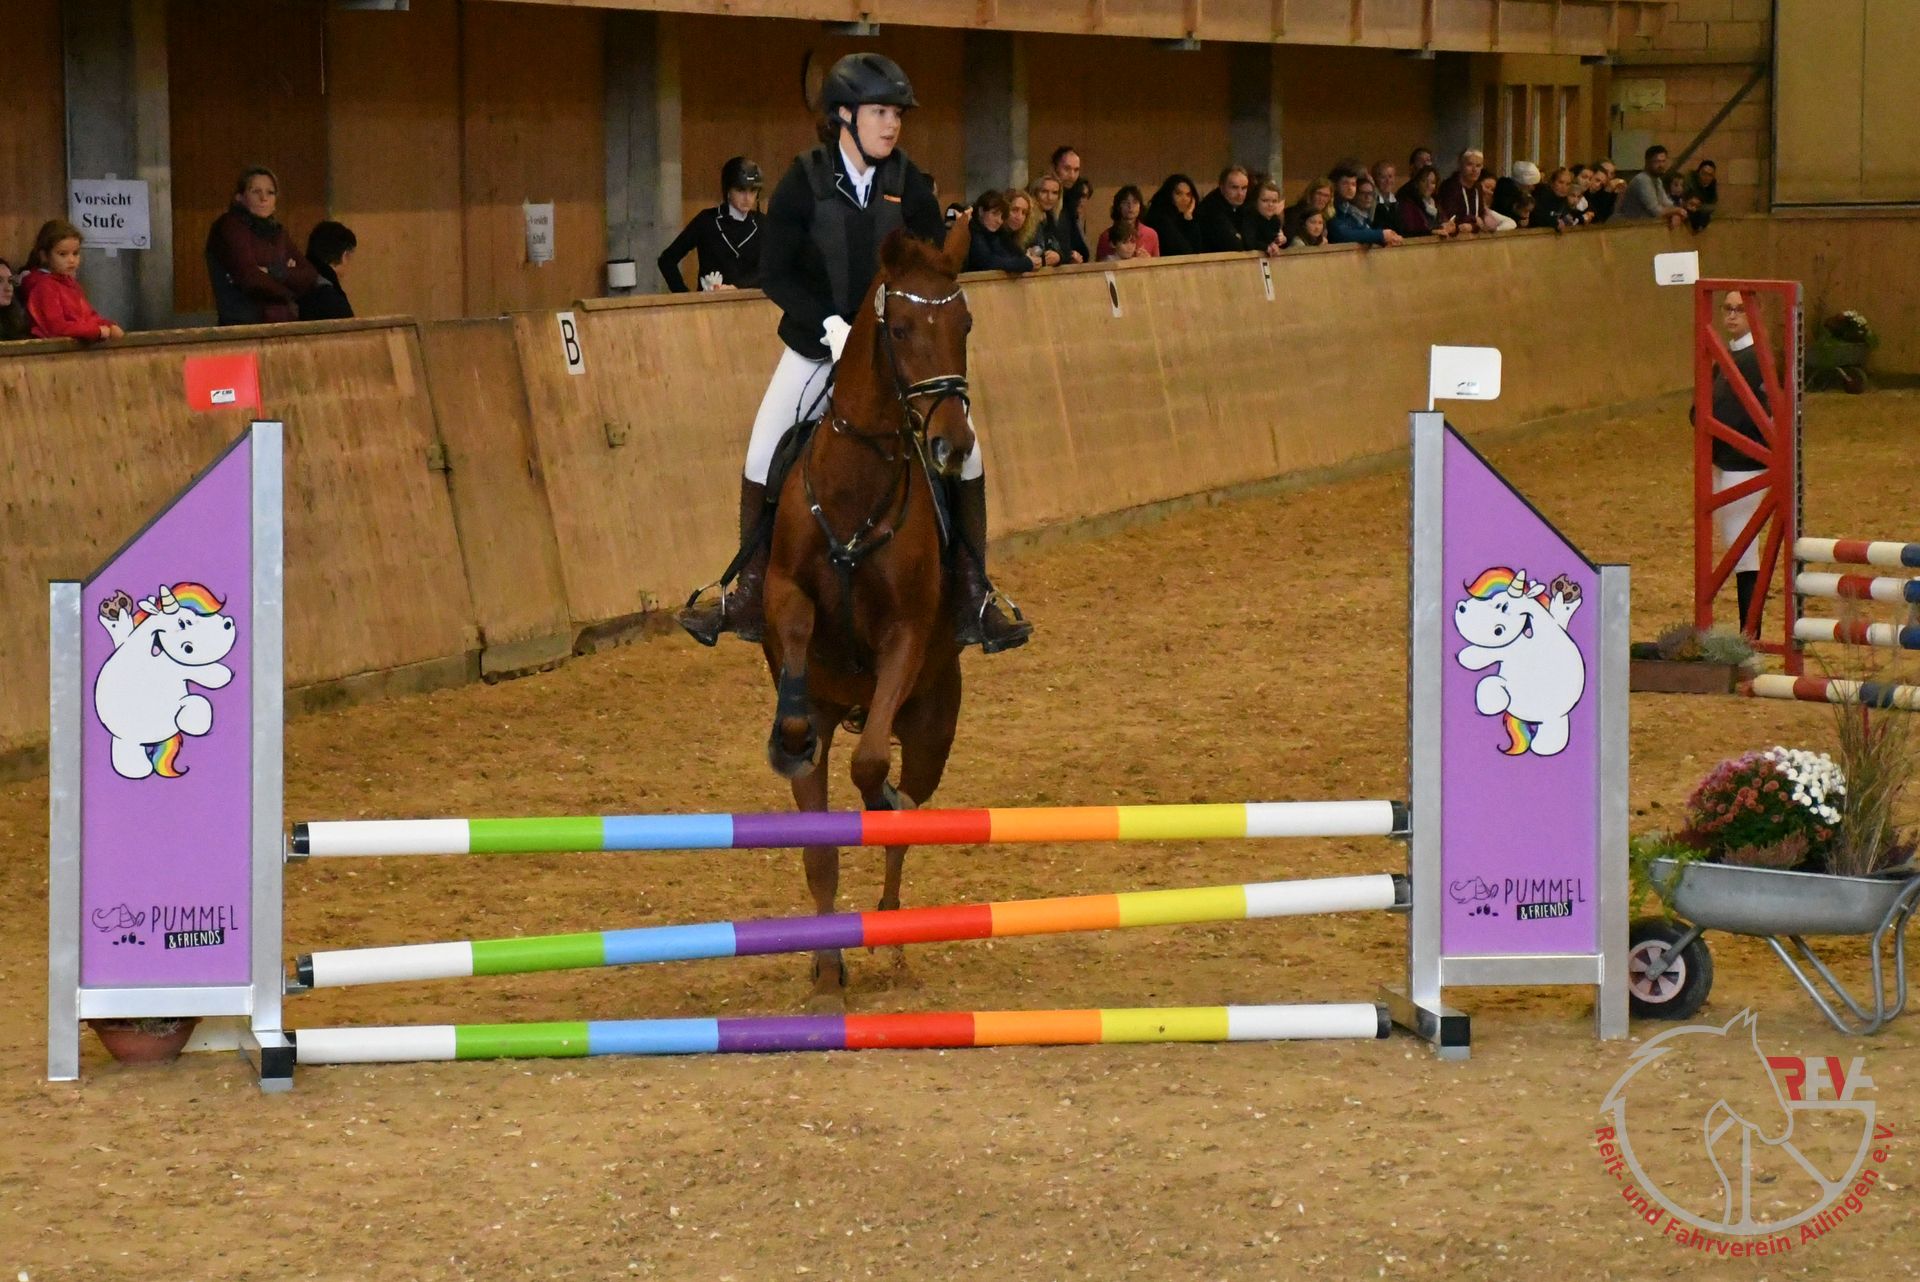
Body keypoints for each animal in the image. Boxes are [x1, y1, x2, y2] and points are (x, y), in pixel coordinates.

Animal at [761, 217, 976, 1012]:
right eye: (903, 327)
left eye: (965, 324)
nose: (953, 444)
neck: (857, 487)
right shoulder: (784, 592)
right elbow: (794, 631)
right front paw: (789, 730)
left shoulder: (907, 637)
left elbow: (874, 767)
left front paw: (879, 789)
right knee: (820, 842)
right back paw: (828, 963)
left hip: (936, 719)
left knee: (903, 816)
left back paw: (894, 938)